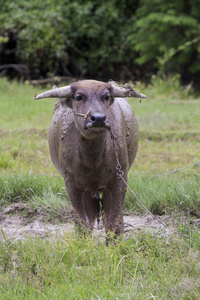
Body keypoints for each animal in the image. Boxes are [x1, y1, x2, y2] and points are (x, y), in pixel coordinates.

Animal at [34, 80, 145, 239]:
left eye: (106, 97)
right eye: (79, 97)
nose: (98, 118)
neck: (92, 159)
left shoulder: (119, 180)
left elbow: (114, 222)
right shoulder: (71, 184)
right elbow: (82, 223)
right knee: (91, 217)